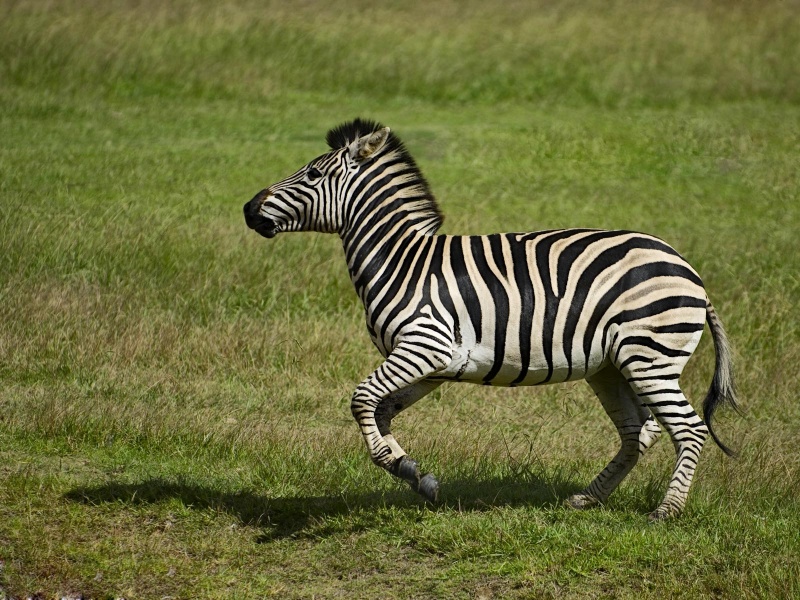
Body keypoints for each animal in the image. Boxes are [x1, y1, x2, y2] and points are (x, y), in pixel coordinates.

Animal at [243, 118, 739, 520]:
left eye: (312, 174)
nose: (248, 208)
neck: (402, 260)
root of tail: (687, 268)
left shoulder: (425, 345)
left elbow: (362, 399)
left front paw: (397, 463)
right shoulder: (433, 364)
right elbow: (382, 410)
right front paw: (414, 474)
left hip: (649, 357)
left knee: (688, 429)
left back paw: (666, 511)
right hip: (612, 367)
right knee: (638, 431)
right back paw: (588, 498)